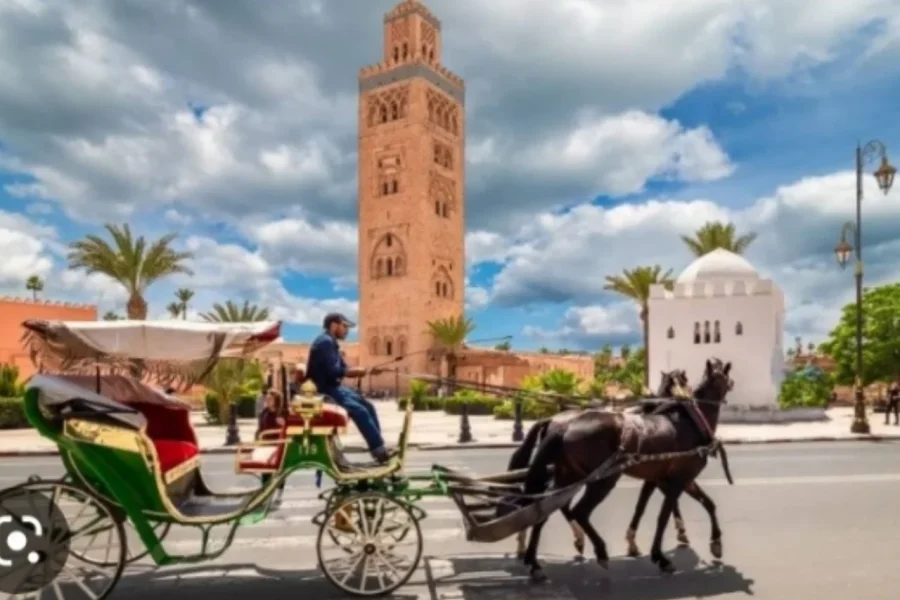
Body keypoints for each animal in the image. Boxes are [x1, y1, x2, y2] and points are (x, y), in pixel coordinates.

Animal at [512, 358, 732, 580]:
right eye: (725, 375)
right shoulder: (679, 479)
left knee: (546, 506)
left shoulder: (666, 479)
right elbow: (663, 515)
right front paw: (662, 555)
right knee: (579, 511)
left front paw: (715, 543)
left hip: (568, 474)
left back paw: (534, 561)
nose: (732, 383)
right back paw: (598, 551)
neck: (690, 422)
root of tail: (561, 426)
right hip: (602, 479)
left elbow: (703, 504)